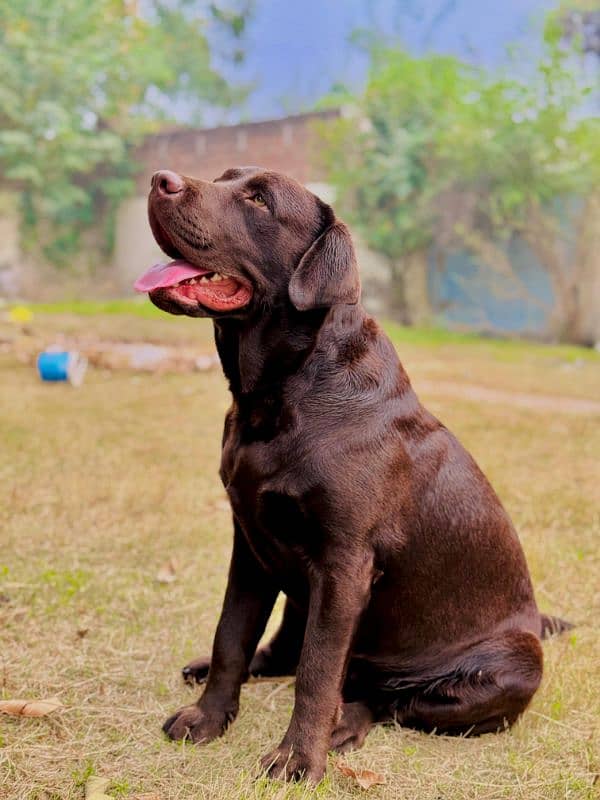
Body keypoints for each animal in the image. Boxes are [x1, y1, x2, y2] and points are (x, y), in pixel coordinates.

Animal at [136, 166, 572, 784]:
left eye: (258, 199)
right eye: (223, 178)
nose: (160, 179)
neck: (280, 394)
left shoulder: (345, 564)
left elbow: (319, 673)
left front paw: (297, 758)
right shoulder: (249, 544)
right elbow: (232, 637)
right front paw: (208, 718)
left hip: (511, 666)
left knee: (386, 699)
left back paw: (345, 726)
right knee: (290, 654)